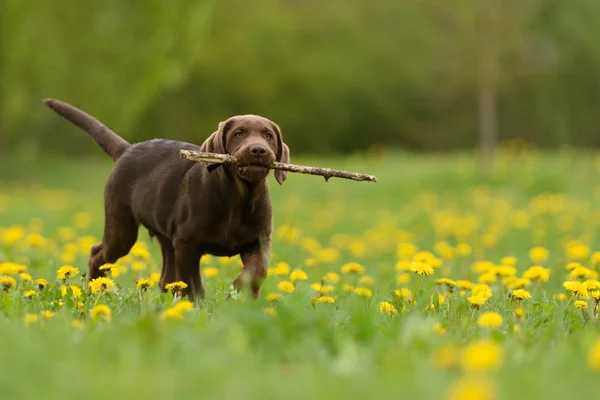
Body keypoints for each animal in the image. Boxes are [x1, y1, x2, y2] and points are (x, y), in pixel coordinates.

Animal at [43, 99, 290, 300]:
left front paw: (239, 295)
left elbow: (256, 272)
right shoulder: (187, 244)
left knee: (166, 279)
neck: (238, 197)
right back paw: (97, 291)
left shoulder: (259, 241)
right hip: (122, 227)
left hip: (165, 236)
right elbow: (192, 284)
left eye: (268, 135)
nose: (258, 150)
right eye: (239, 133)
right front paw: (196, 307)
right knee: (98, 254)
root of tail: (127, 148)